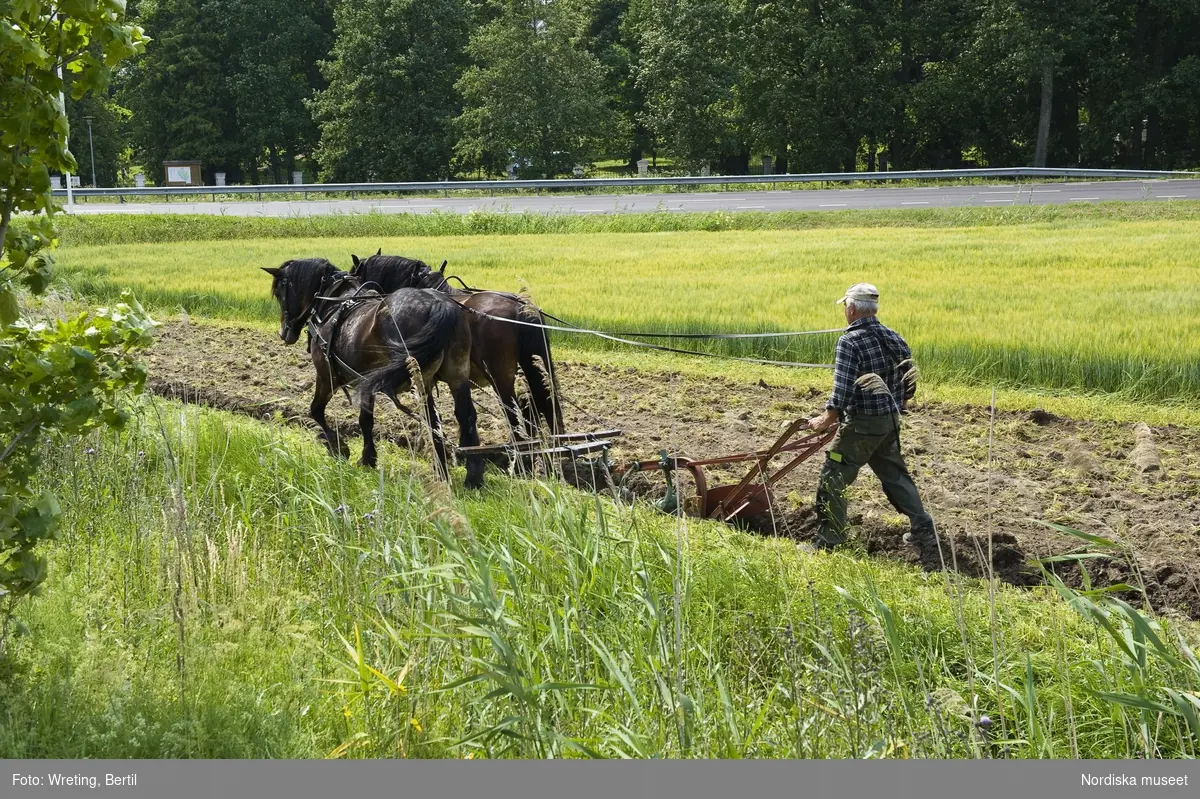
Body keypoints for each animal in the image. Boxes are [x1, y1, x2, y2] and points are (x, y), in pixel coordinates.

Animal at [265, 257, 484, 489]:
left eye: (279, 292)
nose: (284, 333)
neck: (334, 303)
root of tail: (439, 304)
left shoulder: (326, 376)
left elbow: (316, 410)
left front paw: (339, 448)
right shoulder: (365, 381)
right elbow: (366, 419)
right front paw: (368, 457)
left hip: (420, 379)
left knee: (433, 420)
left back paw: (443, 471)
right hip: (457, 375)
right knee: (462, 416)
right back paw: (470, 475)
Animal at [345, 251, 564, 441]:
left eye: (356, 274)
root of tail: (520, 307)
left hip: (500, 375)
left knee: (515, 412)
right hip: (532, 366)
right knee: (545, 404)